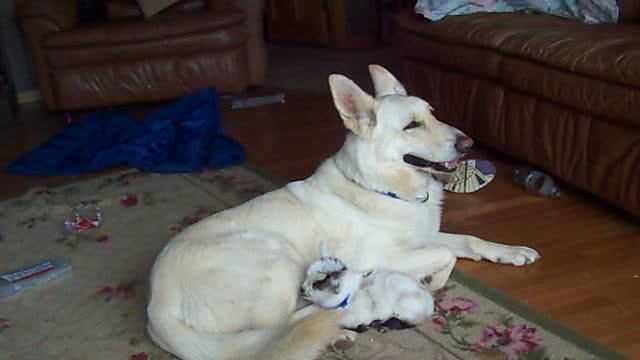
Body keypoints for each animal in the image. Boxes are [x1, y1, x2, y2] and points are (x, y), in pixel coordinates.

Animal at [146, 65, 540, 360]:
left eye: (432, 113)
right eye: (411, 126)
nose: (468, 142)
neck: (384, 187)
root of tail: (156, 304)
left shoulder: (426, 236)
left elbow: (469, 241)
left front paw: (512, 253)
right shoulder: (381, 256)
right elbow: (446, 254)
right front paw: (433, 281)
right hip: (275, 255)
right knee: (275, 334)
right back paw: (334, 329)